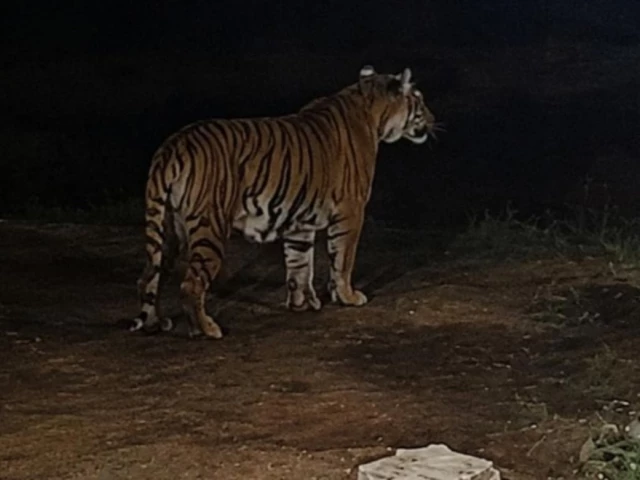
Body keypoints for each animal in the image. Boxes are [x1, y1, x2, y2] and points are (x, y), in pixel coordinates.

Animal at [130, 65, 438, 339]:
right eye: (419, 98)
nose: (433, 117)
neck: (372, 110)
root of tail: (173, 145)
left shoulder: (300, 220)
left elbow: (299, 263)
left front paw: (302, 303)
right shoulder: (351, 211)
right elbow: (343, 259)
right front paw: (348, 296)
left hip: (168, 229)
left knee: (148, 276)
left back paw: (155, 324)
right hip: (209, 228)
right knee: (190, 285)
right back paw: (206, 329)